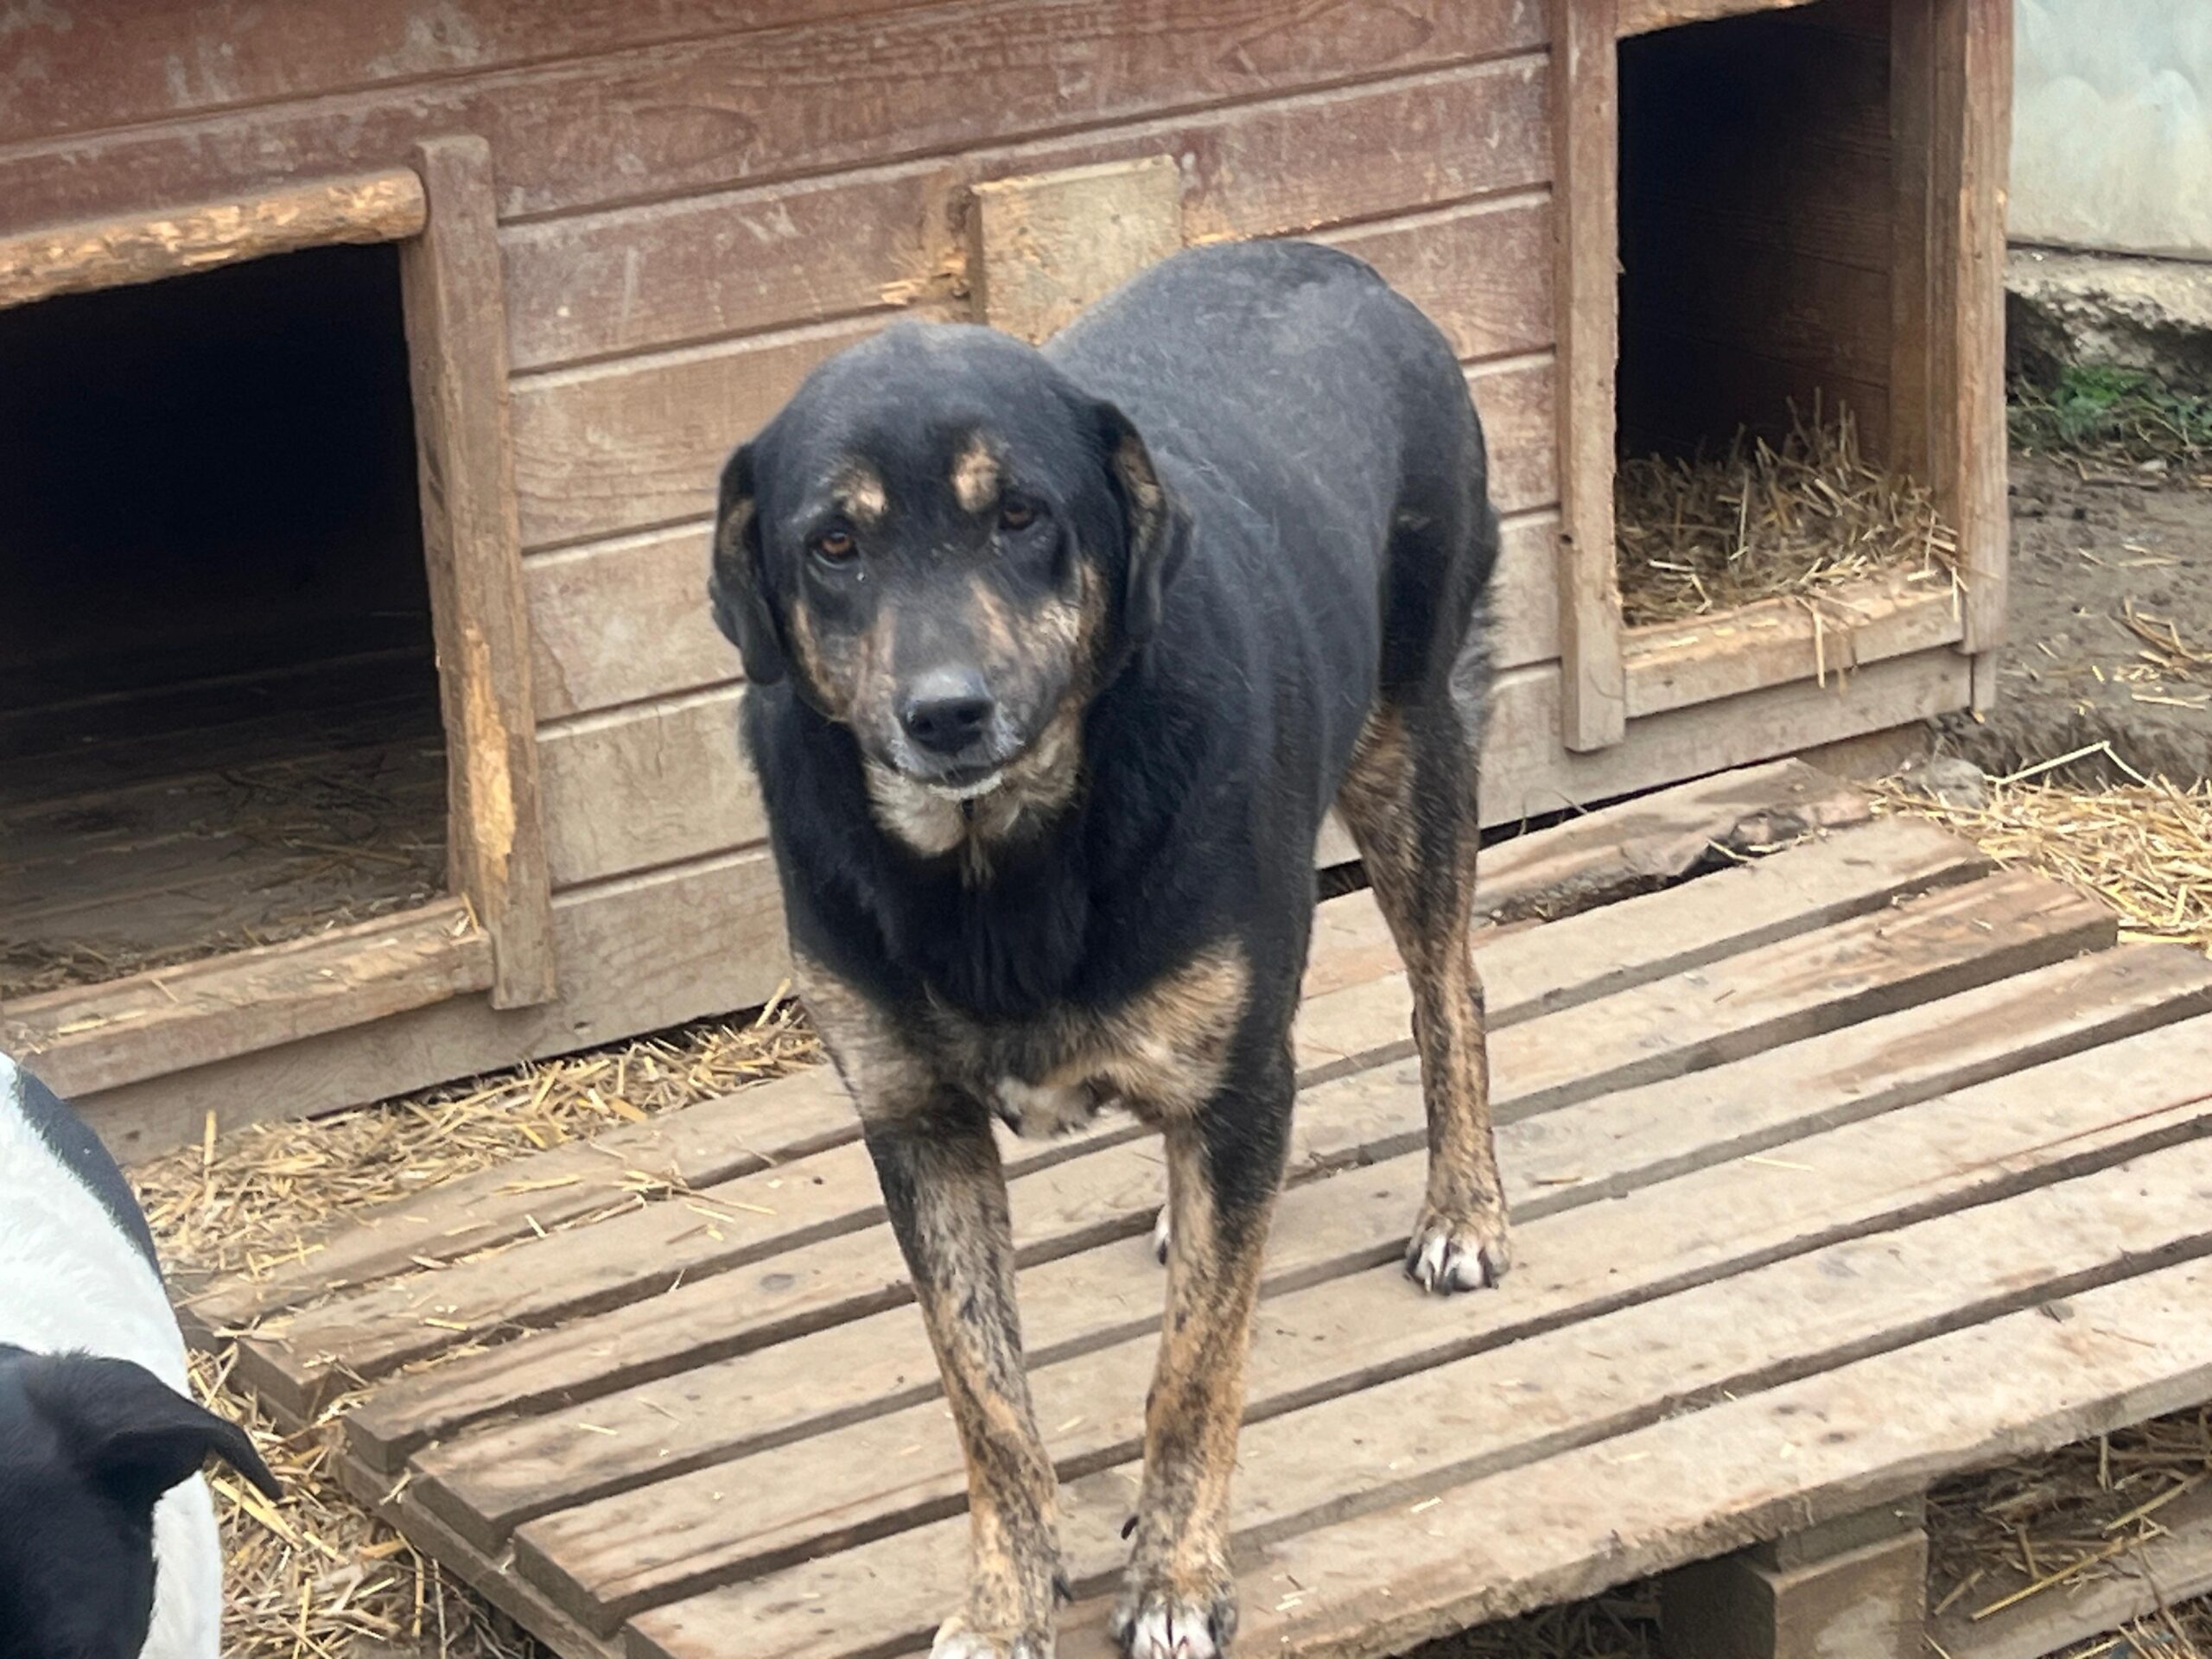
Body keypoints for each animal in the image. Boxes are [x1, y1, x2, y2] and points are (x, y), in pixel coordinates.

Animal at [711, 239, 1504, 1659]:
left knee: (1448, 990)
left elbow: (1194, 1373)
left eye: (1022, 517)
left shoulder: (1243, 1084)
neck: (995, 862)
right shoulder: (916, 1127)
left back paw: (1462, 1208)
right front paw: (1005, 1603)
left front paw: (1178, 1578)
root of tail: (1335, 260)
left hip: (1412, 757)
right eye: (834, 544)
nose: (947, 714)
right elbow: (987, 1401)